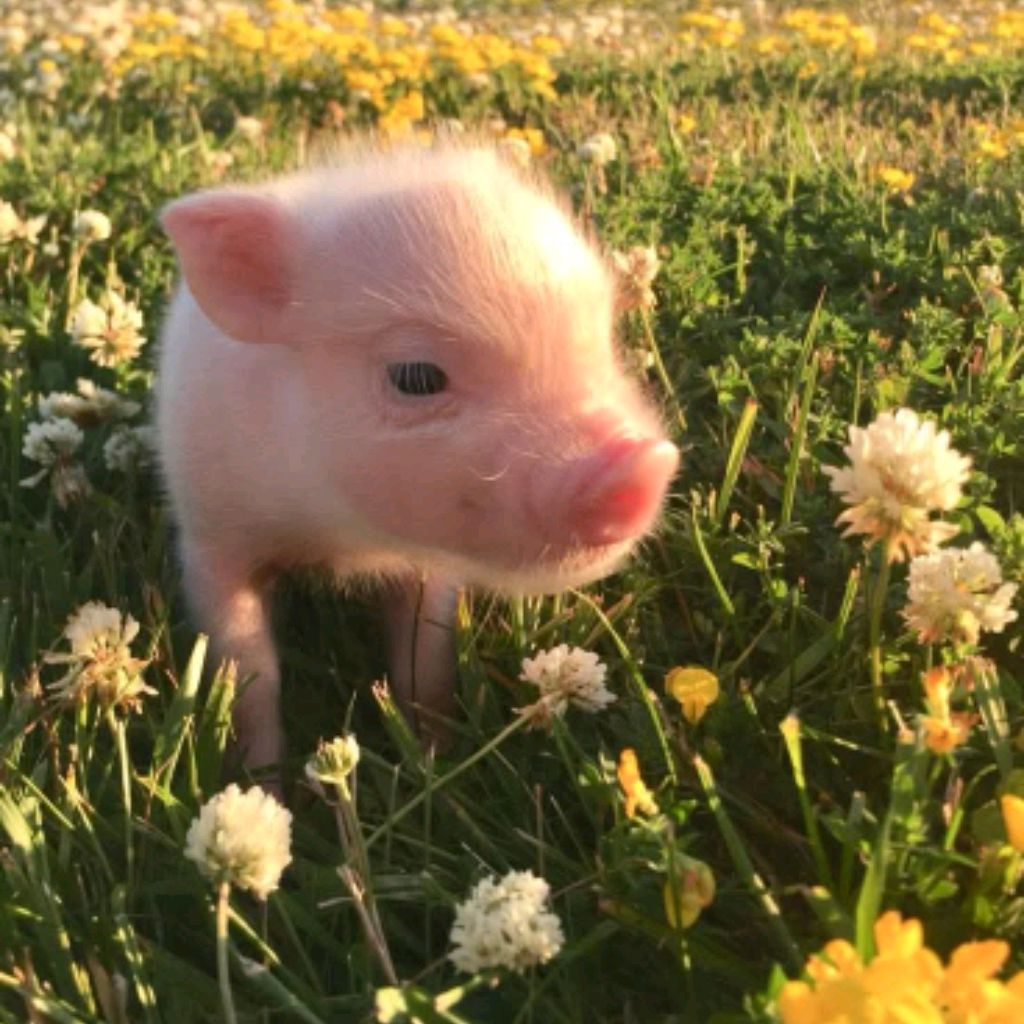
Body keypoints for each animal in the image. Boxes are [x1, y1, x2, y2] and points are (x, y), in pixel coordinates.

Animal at [155, 142, 679, 771]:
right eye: (416, 376)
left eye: (602, 342)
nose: (645, 461)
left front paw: (434, 760)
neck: (341, 537)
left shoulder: (432, 569)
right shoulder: (211, 539)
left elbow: (423, 659)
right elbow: (248, 671)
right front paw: (261, 780)